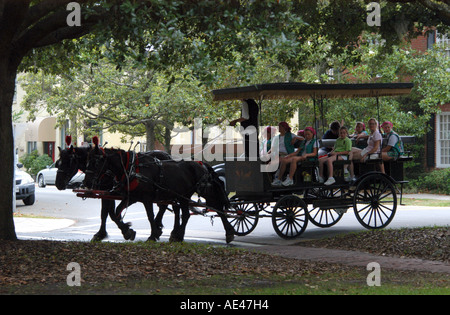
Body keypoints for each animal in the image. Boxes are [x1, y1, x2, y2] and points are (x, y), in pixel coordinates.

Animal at [83, 146, 236, 244]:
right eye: (87, 161)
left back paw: (228, 232)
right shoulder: (132, 197)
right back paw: (178, 235)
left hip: (202, 192)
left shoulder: (146, 198)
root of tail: (201, 164)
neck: (132, 168)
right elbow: (115, 213)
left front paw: (153, 234)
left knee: (217, 207)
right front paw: (128, 231)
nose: (86, 182)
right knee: (185, 213)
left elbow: (150, 216)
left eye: (95, 162)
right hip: (182, 196)